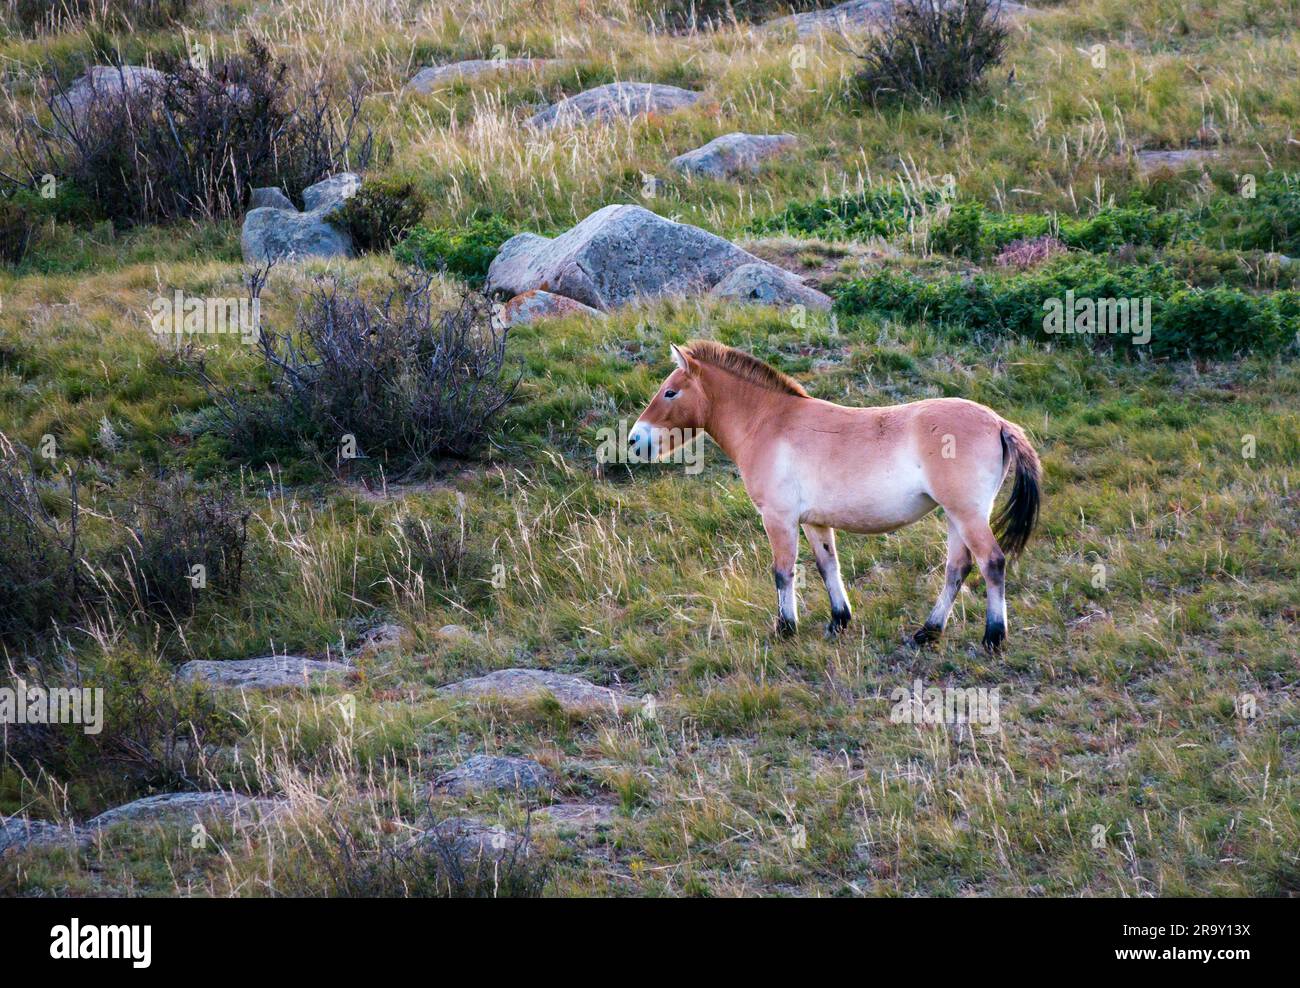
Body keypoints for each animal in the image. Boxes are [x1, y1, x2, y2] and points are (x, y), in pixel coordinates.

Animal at [629, 343, 1045, 652]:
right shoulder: (814, 521)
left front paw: (785, 628)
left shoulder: (778, 518)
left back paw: (993, 636)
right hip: (956, 516)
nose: (634, 439)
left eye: (670, 391)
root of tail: (998, 423)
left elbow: (783, 571)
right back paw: (928, 631)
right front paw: (838, 621)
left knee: (992, 562)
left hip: (967, 515)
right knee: (958, 568)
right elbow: (828, 566)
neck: (770, 423)